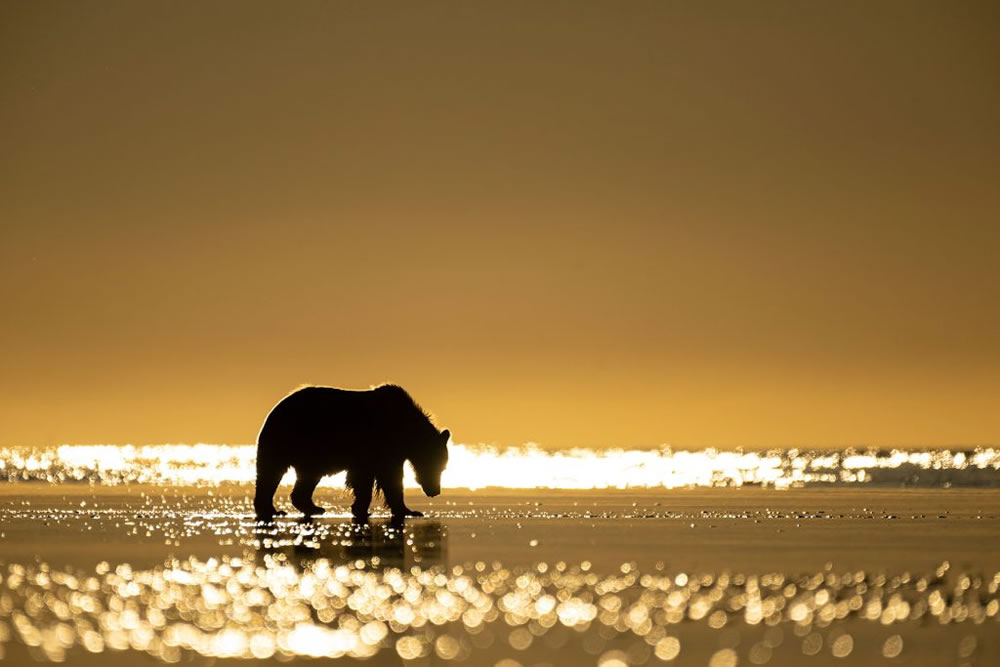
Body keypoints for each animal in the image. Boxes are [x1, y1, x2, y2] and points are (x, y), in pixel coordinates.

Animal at [252, 384, 452, 524]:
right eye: (438, 466)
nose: (435, 491)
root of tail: (275, 410)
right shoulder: (379, 446)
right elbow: (386, 478)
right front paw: (408, 510)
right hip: (294, 441)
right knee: (271, 473)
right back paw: (274, 509)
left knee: (296, 477)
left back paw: (310, 507)